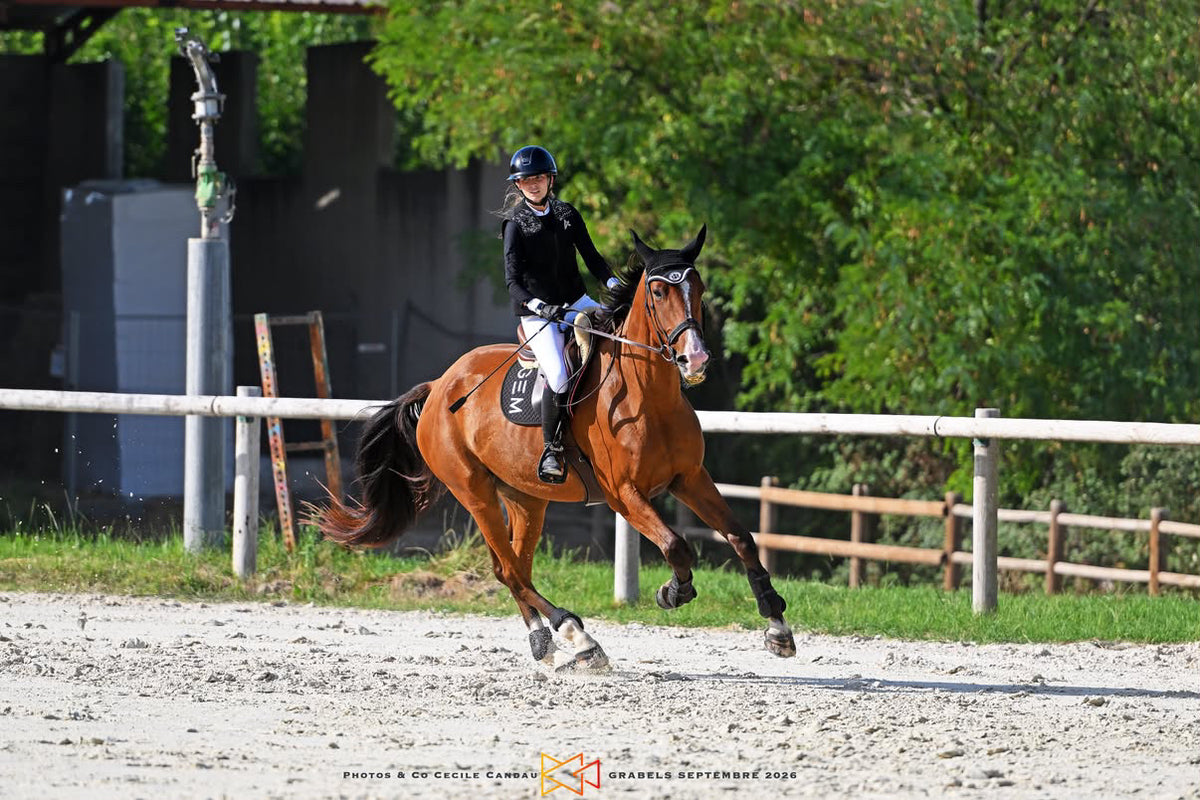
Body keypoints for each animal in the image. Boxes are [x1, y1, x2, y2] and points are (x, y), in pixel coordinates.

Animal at [312, 226, 796, 670]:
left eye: (699, 288)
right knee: (509, 569)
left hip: (525, 498)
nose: (695, 359)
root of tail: (437, 386)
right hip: (474, 491)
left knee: (513, 567)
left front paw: (777, 625)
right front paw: (672, 591)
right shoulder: (625, 495)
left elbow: (741, 537)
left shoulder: (689, 478)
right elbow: (677, 546)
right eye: (658, 291)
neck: (649, 396)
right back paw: (576, 635)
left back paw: (542, 639)